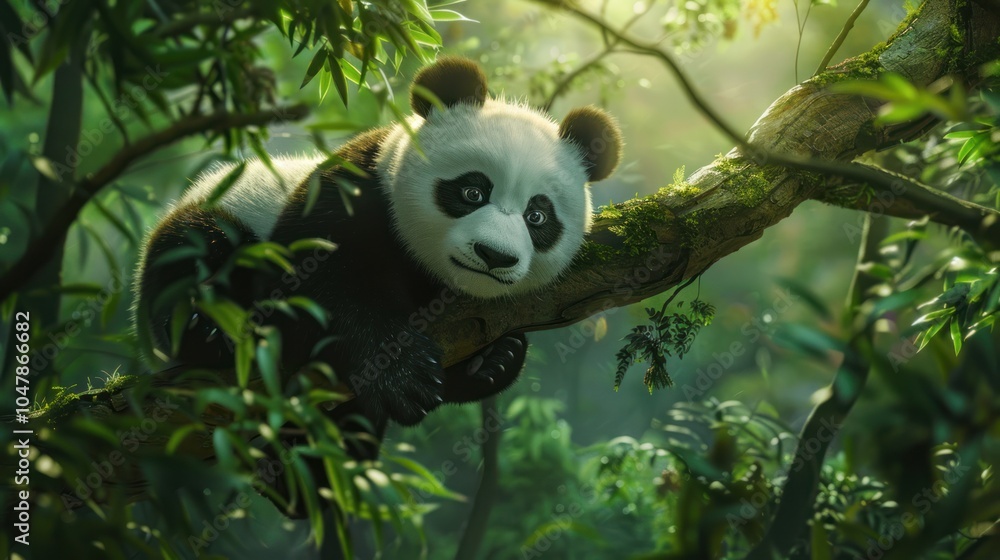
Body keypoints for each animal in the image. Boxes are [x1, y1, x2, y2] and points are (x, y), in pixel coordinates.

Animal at [134, 57, 623, 461]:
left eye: (537, 215)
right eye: (472, 191)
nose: (493, 255)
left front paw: (493, 360)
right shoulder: (351, 191)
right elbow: (314, 289)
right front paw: (399, 372)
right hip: (223, 210)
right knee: (193, 248)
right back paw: (203, 331)